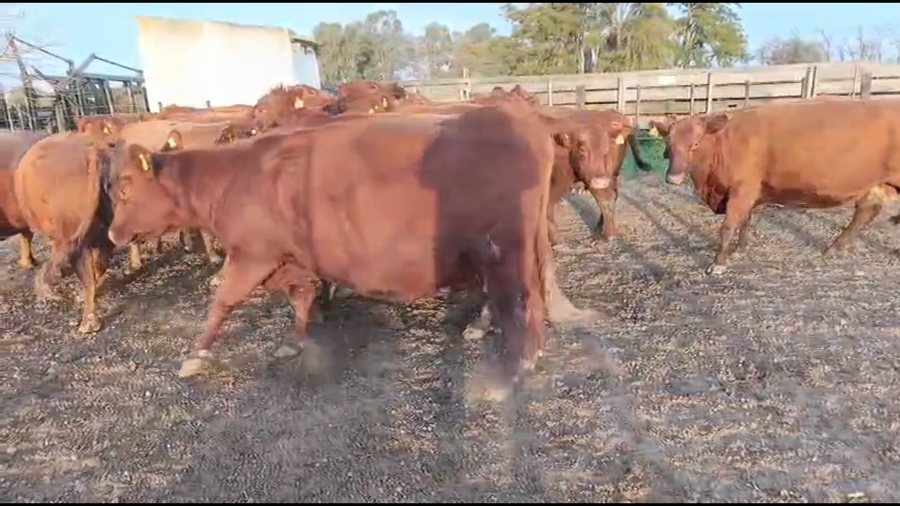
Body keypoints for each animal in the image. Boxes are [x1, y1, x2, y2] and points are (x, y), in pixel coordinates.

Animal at [105, 103, 596, 400]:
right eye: (111, 187)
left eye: (126, 187)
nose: (111, 234)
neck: (233, 176)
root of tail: (521, 118)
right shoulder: (293, 259)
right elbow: (301, 299)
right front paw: (296, 342)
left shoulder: (252, 254)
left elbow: (221, 302)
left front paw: (194, 357)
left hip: (502, 251)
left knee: (520, 307)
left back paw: (509, 373)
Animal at [651, 100, 900, 275]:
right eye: (668, 143)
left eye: (695, 143)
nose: (673, 178)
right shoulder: (748, 192)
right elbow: (745, 221)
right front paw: (741, 249)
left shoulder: (743, 189)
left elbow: (728, 227)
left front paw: (719, 263)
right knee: (866, 211)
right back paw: (835, 248)